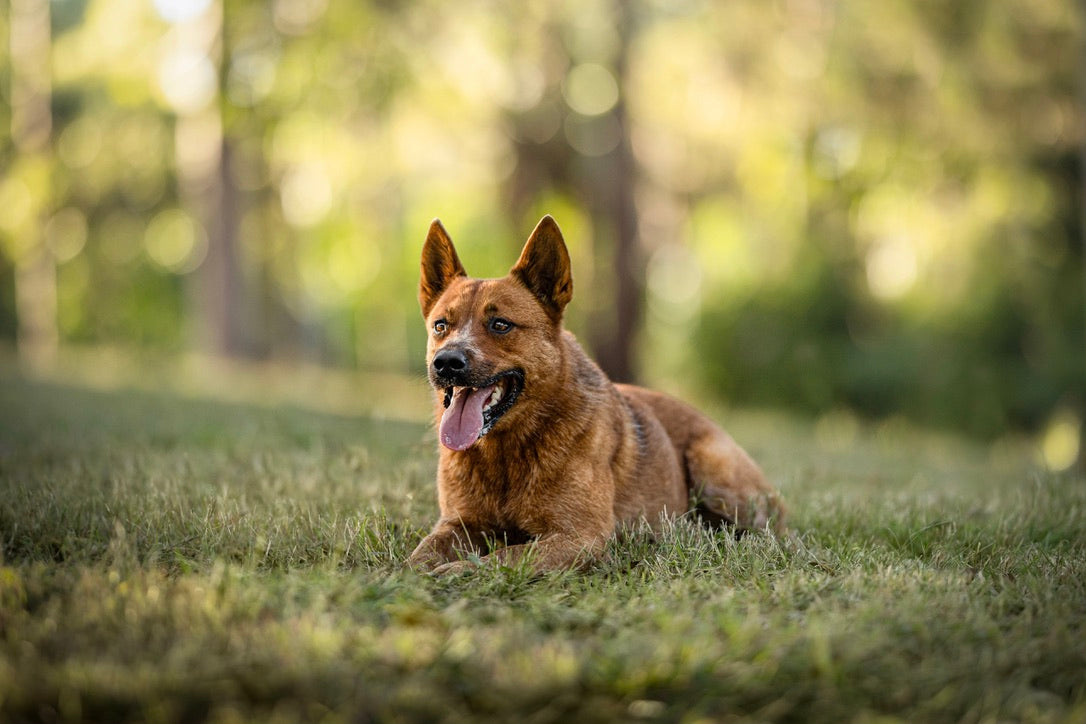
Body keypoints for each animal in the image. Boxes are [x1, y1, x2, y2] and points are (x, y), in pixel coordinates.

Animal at [410, 214, 786, 577]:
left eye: (500, 324)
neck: (504, 454)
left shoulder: (579, 537)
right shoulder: (459, 524)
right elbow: (419, 554)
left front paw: (456, 571)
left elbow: (504, 556)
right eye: (441, 325)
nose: (447, 363)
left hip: (713, 466)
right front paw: (407, 575)